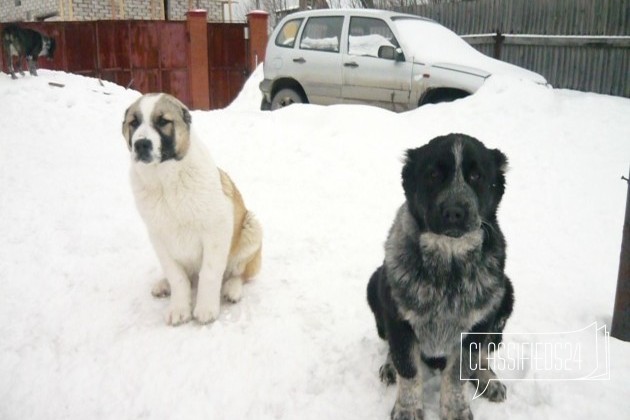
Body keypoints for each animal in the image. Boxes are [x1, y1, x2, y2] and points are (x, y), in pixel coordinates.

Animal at [122, 93, 262, 326]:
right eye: (134, 123)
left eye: (163, 121)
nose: (141, 144)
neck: (165, 182)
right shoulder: (158, 236)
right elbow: (177, 277)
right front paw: (179, 308)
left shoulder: (216, 229)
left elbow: (210, 273)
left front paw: (205, 309)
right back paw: (164, 284)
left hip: (252, 226)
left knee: (238, 273)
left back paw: (232, 289)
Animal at [368, 133, 516, 418]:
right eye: (434, 175)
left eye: (476, 176)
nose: (454, 212)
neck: (449, 266)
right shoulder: (398, 317)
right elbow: (408, 367)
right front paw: (407, 409)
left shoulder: (476, 323)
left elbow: (459, 373)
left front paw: (455, 410)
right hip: (374, 286)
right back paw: (389, 366)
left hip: (506, 296)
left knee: (482, 355)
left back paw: (487, 379)